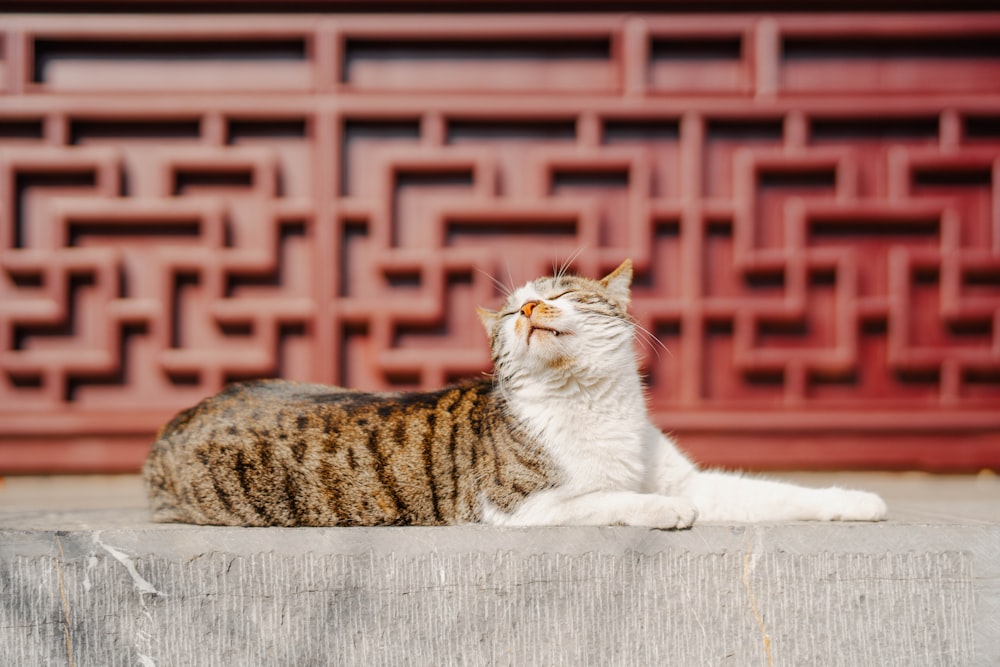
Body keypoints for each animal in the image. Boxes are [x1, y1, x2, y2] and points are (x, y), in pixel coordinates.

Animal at [145, 260, 888, 528]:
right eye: (509, 312)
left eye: (560, 291)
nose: (528, 308)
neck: (592, 402)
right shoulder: (520, 504)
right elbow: (607, 498)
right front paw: (658, 511)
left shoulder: (690, 477)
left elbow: (777, 492)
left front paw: (859, 501)